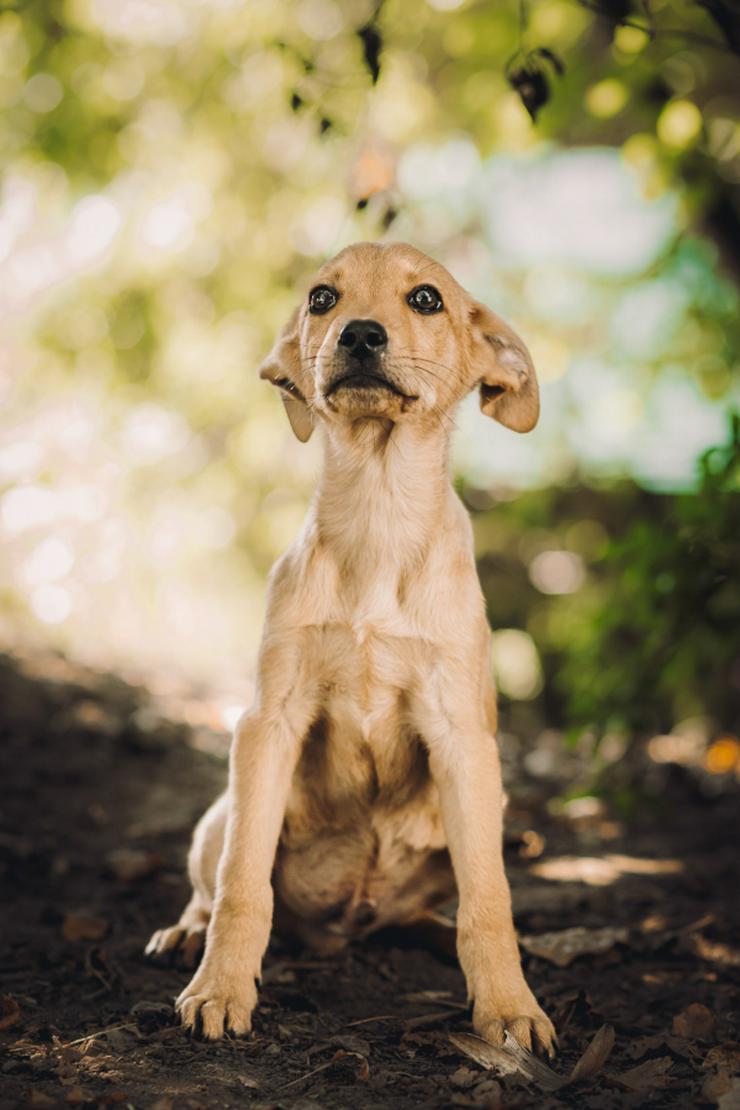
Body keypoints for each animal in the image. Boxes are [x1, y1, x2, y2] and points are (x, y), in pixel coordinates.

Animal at [147, 238, 554, 1052]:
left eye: (426, 299)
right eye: (322, 298)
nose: (360, 334)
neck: (379, 514)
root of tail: (350, 925)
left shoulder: (463, 740)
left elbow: (488, 903)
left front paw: (509, 1008)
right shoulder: (267, 723)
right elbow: (243, 887)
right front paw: (221, 989)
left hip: (482, 814)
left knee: (449, 901)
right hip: (222, 811)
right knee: (211, 884)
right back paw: (187, 933)